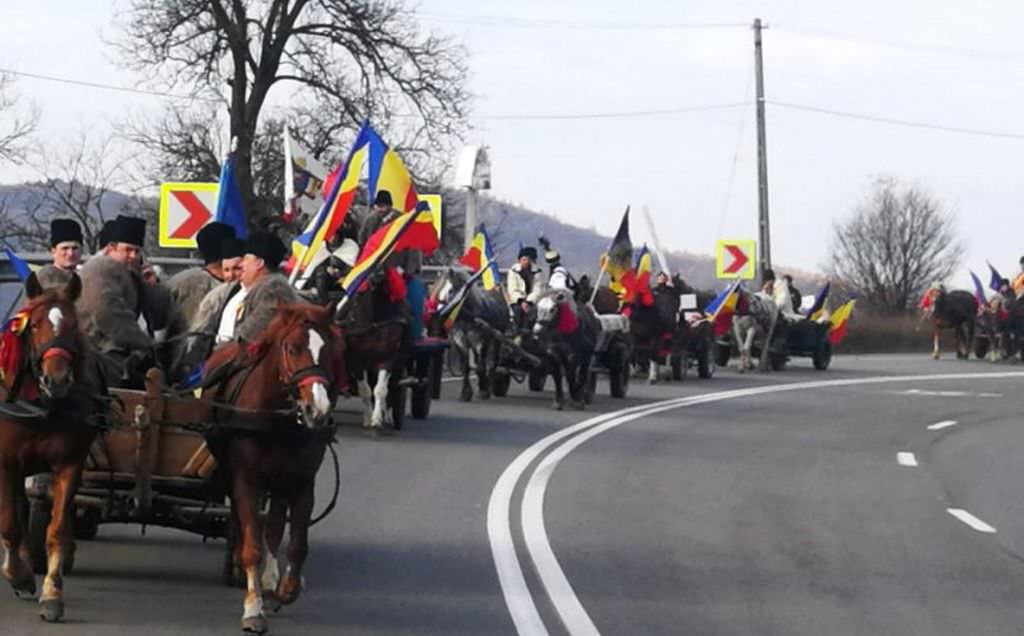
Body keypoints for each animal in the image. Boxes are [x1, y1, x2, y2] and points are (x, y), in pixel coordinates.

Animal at [0, 272, 104, 618]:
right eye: (34, 325)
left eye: (73, 324)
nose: (56, 379)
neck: (42, 406)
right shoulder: (7, 462)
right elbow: (9, 523)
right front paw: (18, 576)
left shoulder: (70, 463)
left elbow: (56, 529)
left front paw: (52, 594)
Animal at [200, 301, 339, 630]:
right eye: (291, 348)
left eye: (328, 349)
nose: (318, 410)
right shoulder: (246, 480)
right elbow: (251, 543)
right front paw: (253, 608)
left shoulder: (301, 483)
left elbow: (296, 544)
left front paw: (287, 588)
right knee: (244, 525)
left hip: (278, 482)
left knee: (274, 527)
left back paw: (271, 578)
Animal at [423, 268, 507, 399]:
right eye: (437, 290)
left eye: (451, 290)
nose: (437, 314)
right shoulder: (459, 338)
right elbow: (465, 366)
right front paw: (466, 392)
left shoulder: (480, 340)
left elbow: (481, 364)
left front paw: (484, 389)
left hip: (497, 338)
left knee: (492, 362)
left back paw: (489, 384)